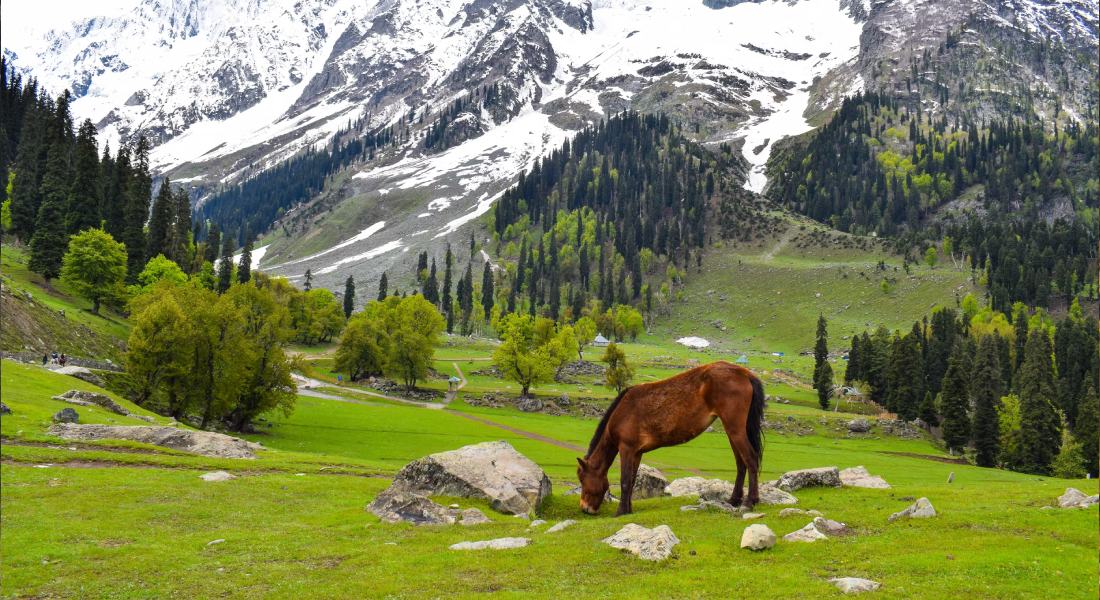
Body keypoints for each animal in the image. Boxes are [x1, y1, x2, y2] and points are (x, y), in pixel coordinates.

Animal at [576, 361, 765, 515]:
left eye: (582, 479)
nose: (585, 508)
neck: (622, 412)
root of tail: (745, 373)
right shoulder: (637, 453)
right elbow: (632, 480)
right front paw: (628, 509)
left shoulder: (626, 449)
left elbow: (624, 480)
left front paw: (621, 511)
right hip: (732, 431)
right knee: (741, 463)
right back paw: (734, 500)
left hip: (735, 429)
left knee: (751, 459)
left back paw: (750, 502)